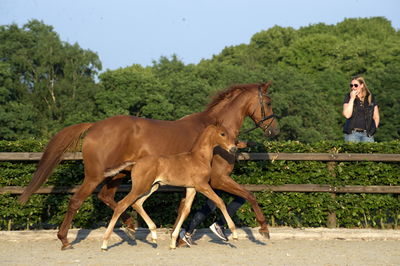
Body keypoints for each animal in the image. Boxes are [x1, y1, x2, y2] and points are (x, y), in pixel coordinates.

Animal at [101, 123, 238, 250]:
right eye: (222, 134)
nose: (233, 149)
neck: (199, 158)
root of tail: (135, 163)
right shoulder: (202, 186)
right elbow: (220, 202)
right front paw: (234, 233)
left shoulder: (191, 188)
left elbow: (186, 210)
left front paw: (173, 242)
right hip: (140, 188)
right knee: (122, 205)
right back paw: (104, 244)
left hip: (152, 187)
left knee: (137, 204)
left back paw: (154, 235)